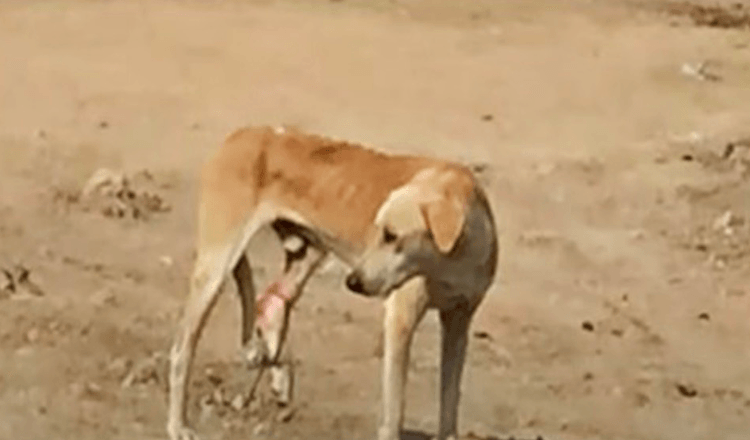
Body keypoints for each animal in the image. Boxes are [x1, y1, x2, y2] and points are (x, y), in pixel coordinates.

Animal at [167, 125, 502, 440]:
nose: (353, 282)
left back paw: (277, 374)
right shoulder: (400, 320)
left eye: (391, 235)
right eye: (380, 230)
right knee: (182, 349)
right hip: (215, 269)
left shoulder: (458, 323)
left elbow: (450, 399)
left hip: (306, 255)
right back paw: (177, 425)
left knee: (271, 301)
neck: (453, 258)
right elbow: (394, 409)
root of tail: (242, 134)